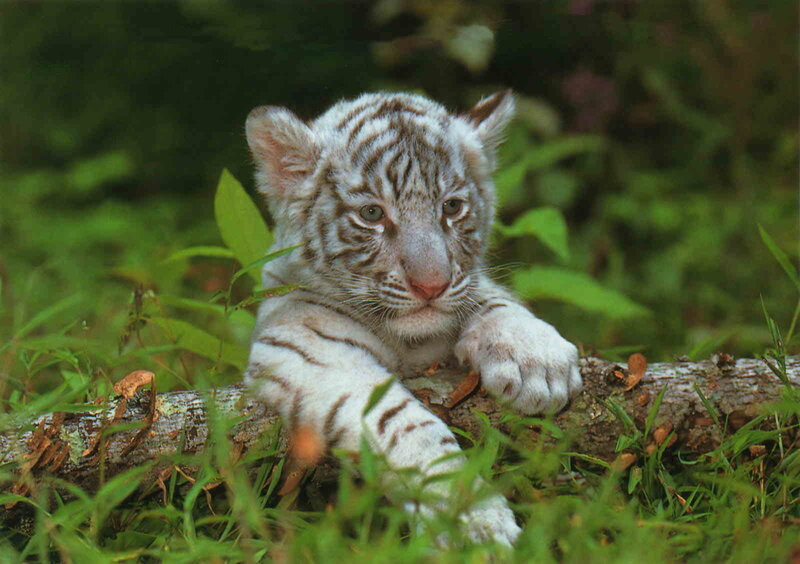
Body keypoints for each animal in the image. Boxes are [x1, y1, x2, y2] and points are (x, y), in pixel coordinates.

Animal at [243, 90, 581, 546]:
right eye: (372, 214)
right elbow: (403, 423)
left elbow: (490, 297)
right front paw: (470, 518)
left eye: (451, 207)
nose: (431, 286)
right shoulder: (308, 345)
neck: (410, 341)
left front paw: (537, 362)